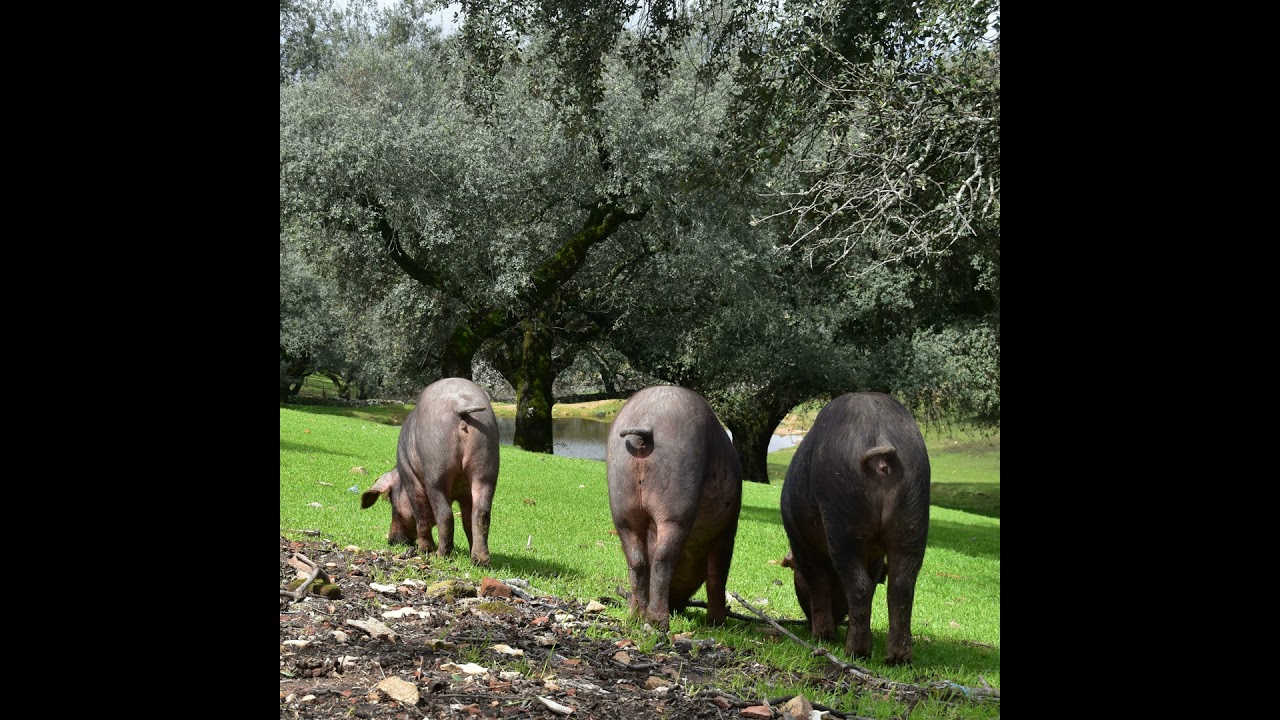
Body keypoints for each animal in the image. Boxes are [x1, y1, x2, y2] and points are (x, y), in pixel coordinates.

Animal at [360, 377, 500, 566]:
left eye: (390, 499)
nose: (391, 540)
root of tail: (461, 406)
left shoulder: (411, 478)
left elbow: (422, 514)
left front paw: (424, 550)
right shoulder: (466, 493)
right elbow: (467, 520)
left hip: (435, 468)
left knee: (444, 515)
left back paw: (440, 555)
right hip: (486, 466)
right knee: (481, 513)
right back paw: (480, 561)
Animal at [605, 385, 743, 631]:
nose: (679, 606)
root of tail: (648, 424)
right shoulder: (728, 530)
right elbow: (717, 576)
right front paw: (717, 624)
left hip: (621, 507)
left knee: (637, 559)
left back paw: (635, 618)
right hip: (677, 508)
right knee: (662, 559)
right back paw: (660, 623)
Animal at [779, 392, 930, 664]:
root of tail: (879, 438)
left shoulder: (800, 540)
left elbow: (816, 582)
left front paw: (823, 637)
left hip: (842, 520)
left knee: (859, 586)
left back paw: (854, 652)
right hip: (914, 515)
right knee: (901, 586)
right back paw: (897, 658)